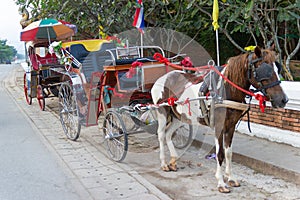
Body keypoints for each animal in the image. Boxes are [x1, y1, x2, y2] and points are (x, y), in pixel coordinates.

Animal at [151, 46, 290, 192]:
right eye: (265, 70)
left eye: (277, 69)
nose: (283, 99)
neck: (227, 90)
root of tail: (162, 78)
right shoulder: (218, 126)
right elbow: (220, 154)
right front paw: (221, 183)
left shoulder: (231, 125)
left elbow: (228, 153)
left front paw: (231, 178)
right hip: (162, 112)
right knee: (161, 135)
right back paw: (164, 163)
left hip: (179, 116)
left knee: (168, 134)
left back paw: (173, 161)